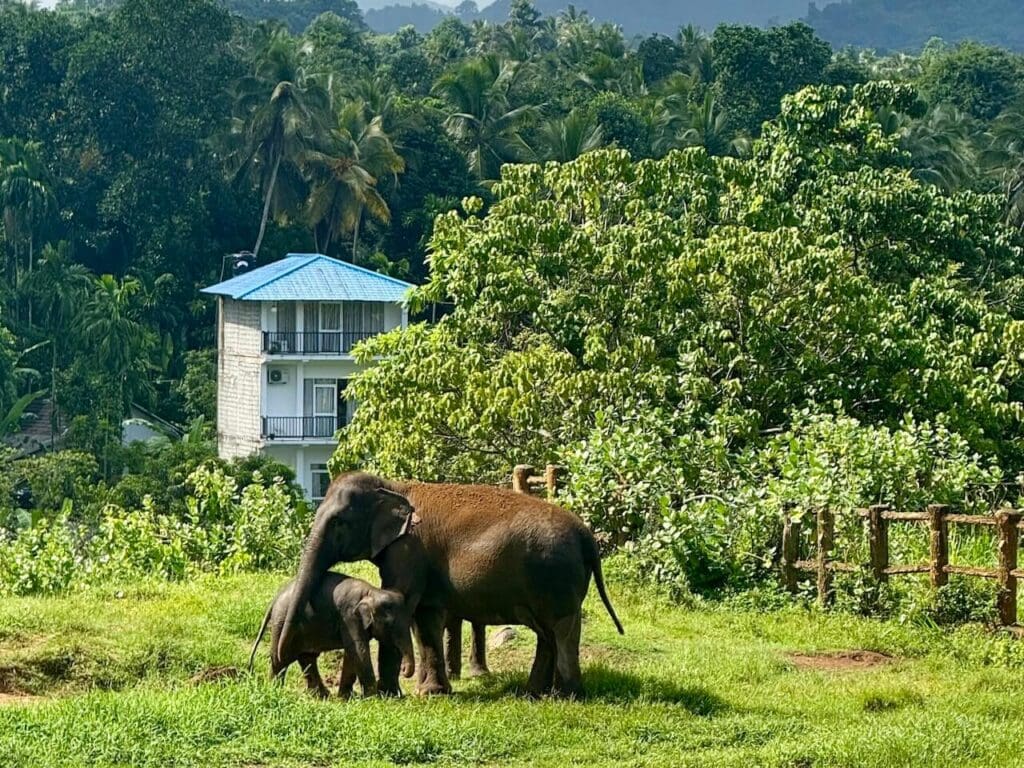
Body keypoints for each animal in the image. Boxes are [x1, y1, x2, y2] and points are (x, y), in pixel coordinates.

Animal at [249, 571, 415, 699]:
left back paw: (322, 695)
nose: (405, 671)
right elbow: (358, 649)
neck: (371, 591)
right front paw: (373, 698)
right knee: (281, 659)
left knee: (306, 657)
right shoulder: (349, 617)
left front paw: (346, 698)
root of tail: (275, 599)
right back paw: (275, 690)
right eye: (390, 624)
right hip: (281, 623)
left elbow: (352, 652)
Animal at [277, 471, 624, 698]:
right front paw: (433, 693)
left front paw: (392, 694)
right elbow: (426, 617)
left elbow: (404, 602)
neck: (394, 486)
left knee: (562, 629)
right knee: (547, 632)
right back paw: (535, 694)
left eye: (339, 522)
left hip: (556, 577)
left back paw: (567, 696)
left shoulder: (409, 551)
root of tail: (585, 534)